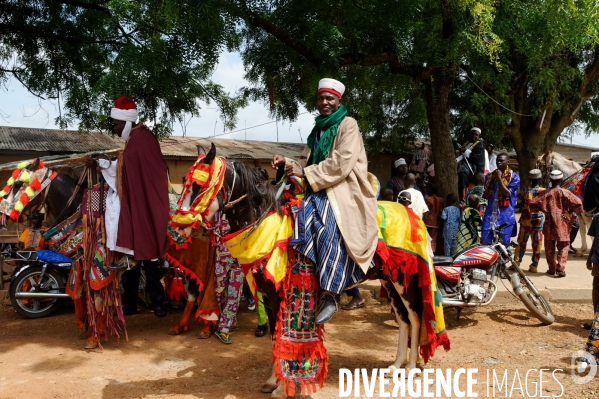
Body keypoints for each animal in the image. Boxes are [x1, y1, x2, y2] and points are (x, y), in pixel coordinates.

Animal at [173, 145, 450, 399]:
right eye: (184, 183)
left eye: (198, 185)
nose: (178, 228)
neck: (268, 227)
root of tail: (412, 214)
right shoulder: (269, 296)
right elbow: (274, 337)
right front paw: (273, 381)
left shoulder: (280, 295)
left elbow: (281, 337)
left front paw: (283, 386)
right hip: (389, 280)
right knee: (403, 320)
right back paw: (396, 365)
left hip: (405, 281)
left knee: (415, 317)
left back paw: (411, 366)